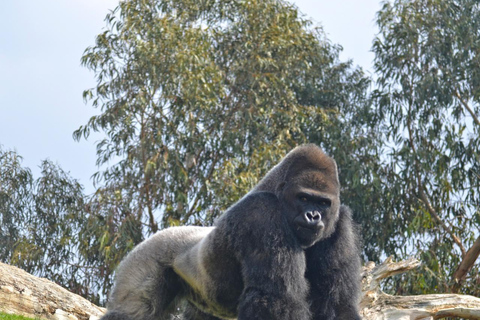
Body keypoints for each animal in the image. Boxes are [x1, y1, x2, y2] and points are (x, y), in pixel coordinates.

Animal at [100, 145, 360, 320]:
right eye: (303, 198)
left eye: (323, 203)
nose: (313, 216)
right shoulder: (261, 212)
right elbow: (276, 299)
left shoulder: (339, 223)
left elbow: (336, 304)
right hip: (144, 259)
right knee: (132, 311)